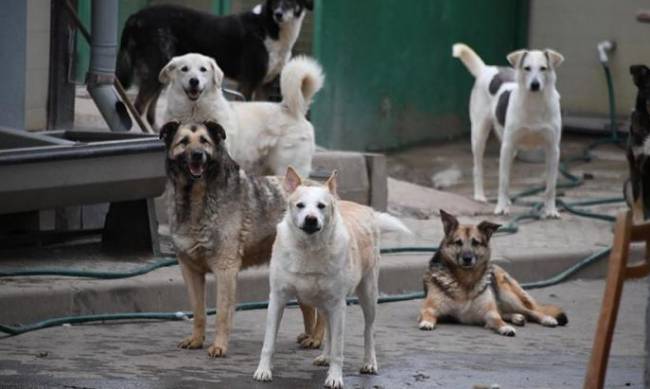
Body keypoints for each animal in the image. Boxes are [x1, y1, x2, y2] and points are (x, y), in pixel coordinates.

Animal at [117, 0, 314, 126]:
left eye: (290, 0)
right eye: (276, 0)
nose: (279, 14)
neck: (269, 26)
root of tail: (135, 17)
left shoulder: (264, 85)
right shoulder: (248, 82)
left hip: (162, 75)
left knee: (150, 113)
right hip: (154, 71)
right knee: (138, 108)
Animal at [158, 119, 318, 356]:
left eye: (204, 141)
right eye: (183, 142)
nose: (197, 155)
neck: (197, 198)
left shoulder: (225, 270)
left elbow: (223, 314)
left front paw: (219, 346)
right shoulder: (190, 271)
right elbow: (198, 312)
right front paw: (196, 340)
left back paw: (317, 338)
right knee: (309, 308)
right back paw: (309, 336)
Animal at [254, 167, 410, 388]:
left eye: (321, 206)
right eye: (300, 205)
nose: (311, 219)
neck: (309, 249)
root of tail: (366, 209)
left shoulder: (338, 305)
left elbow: (339, 348)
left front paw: (335, 377)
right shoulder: (277, 299)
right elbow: (268, 343)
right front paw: (263, 370)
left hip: (368, 296)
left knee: (368, 330)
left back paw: (369, 362)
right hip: (322, 302)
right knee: (327, 326)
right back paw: (325, 356)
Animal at [418, 211, 564, 334]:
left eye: (475, 243)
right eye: (458, 242)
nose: (467, 258)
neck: (465, 279)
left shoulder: (489, 313)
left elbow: (498, 320)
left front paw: (505, 327)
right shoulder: (429, 308)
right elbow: (428, 315)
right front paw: (426, 322)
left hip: (507, 295)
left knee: (529, 311)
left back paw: (546, 318)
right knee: (507, 311)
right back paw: (517, 317)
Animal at [450, 43, 560, 218]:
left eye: (543, 68)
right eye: (527, 68)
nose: (535, 85)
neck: (534, 103)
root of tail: (487, 68)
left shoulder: (553, 149)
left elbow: (551, 185)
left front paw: (550, 210)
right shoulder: (507, 147)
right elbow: (503, 181)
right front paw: (501, 207)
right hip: (480, 135)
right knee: (478, 167)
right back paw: (480, 195)